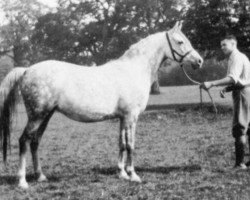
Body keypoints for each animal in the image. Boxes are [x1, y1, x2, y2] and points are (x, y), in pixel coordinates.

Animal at [0, 22, 202, 189]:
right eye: (180, 42)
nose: (199, 61)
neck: (133, 69)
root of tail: (27, 70)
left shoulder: (122, 118)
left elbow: (121, 143)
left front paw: (122, 173)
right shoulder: (131, 116)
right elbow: (131, 145)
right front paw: (134, 175)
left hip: (46, 115)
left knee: (35, 141)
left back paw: (41, 176)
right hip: (37, 115)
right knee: (24, 141)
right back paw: (22, 181)